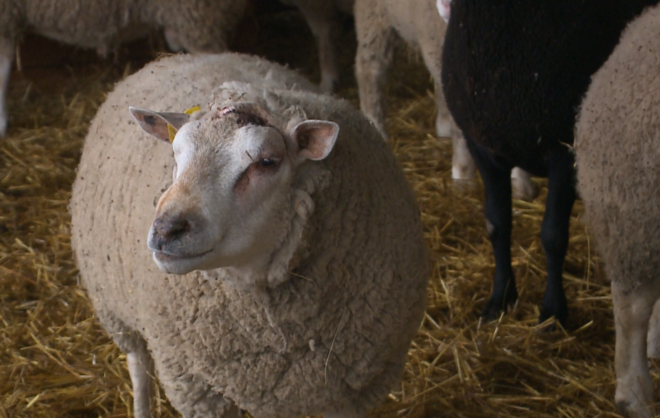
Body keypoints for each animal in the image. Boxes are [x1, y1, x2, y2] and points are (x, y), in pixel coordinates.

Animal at [69, 52, 430, 418]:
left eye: (268, 161)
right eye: (175, 153)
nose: (166, 230)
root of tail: (184, 55)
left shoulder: (351, 391)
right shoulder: (201, 392)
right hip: (114, 305)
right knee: (138, 364)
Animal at [441, 0, 659, 327]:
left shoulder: (564, 151)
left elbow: (553, 236)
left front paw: (553, 312)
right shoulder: (482, 147)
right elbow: (496, 224)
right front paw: (500, 298)